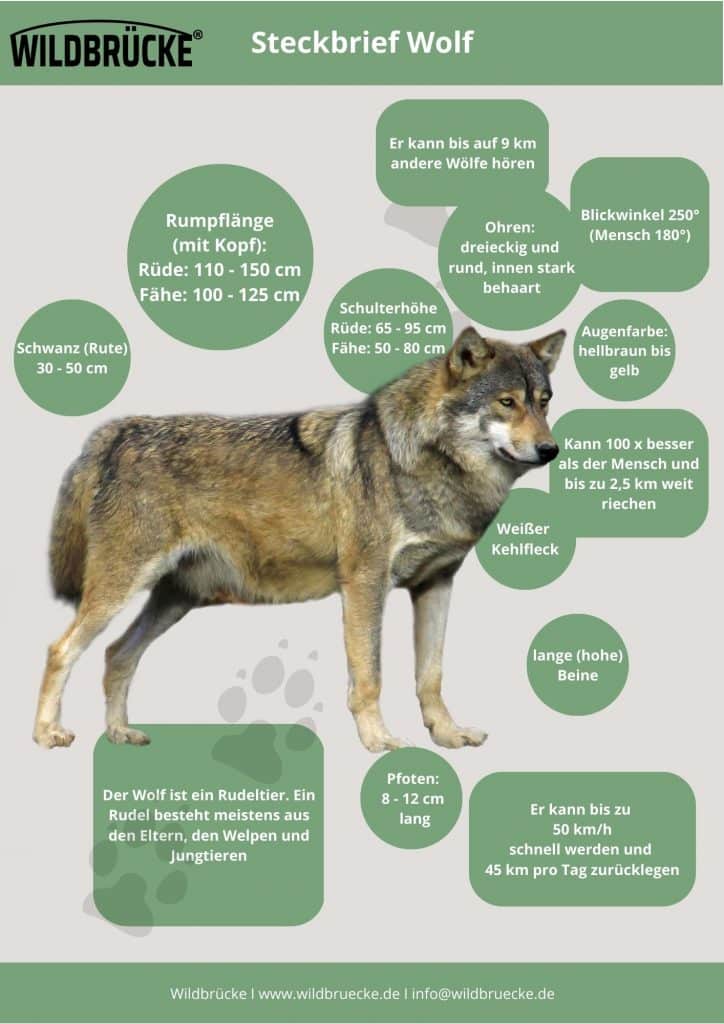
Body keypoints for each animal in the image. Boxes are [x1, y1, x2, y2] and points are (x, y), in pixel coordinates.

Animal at [33, 326, 564, 753]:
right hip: (120, 591)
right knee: (61, 649)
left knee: (116, 655)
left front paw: (448, 735)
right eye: (506, 402)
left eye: (543, 401)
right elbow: (369, 676)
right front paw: (379, 741)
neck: (430, 467)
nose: (550, 449)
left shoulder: (436, 584)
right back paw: (46, 734)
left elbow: (430, 676)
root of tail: (118, 431)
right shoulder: (365, 585)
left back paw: (119, 733)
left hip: (175, 600)